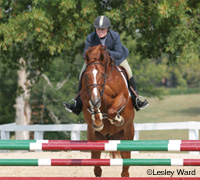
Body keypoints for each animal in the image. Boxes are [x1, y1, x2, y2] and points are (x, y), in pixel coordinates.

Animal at [80, 44, 135, 176]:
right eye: (87, 75)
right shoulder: (86, 96)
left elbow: (112, 110)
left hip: (126, 138)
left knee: (125, 169)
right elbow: (93, 105)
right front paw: (98, 121)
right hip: (94, 141)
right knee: (97, 168)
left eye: (102, 75)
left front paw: (118, 119)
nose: (96, 100)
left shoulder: (122, 95)